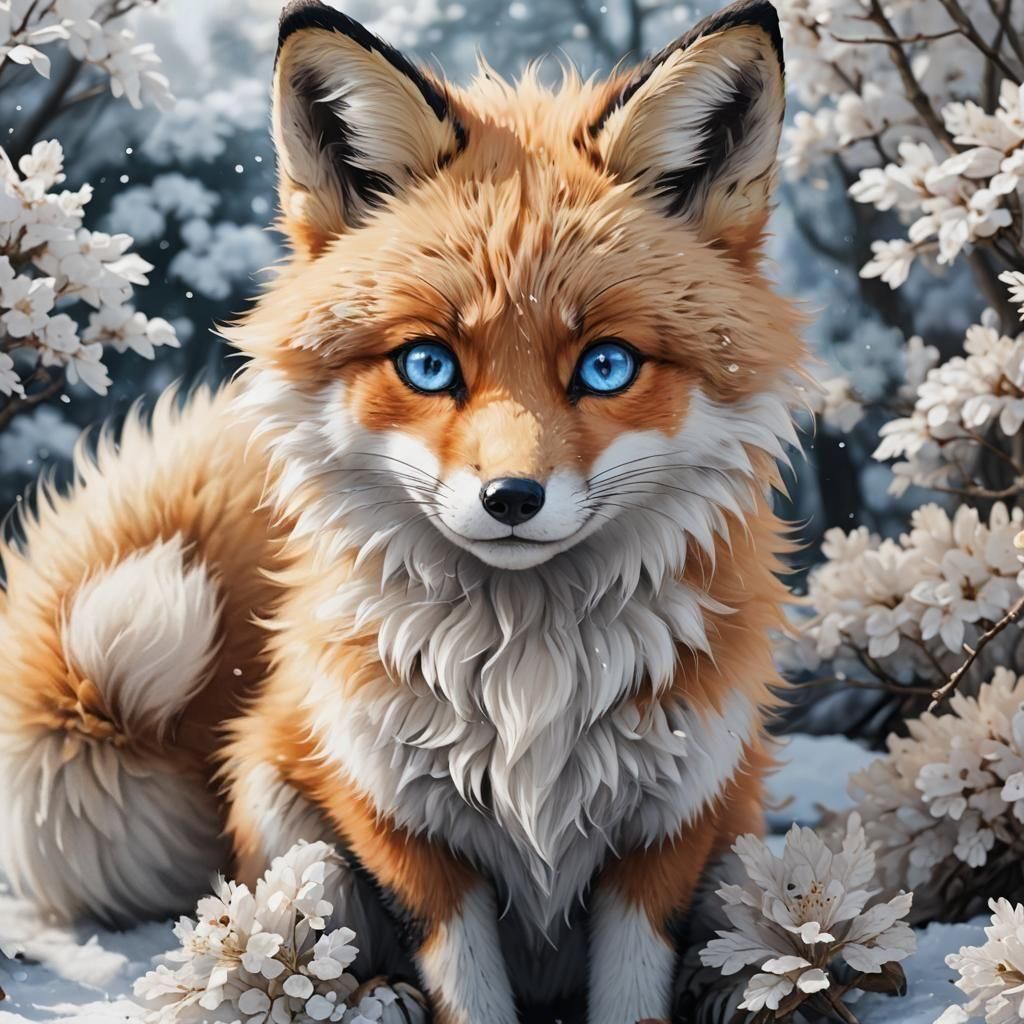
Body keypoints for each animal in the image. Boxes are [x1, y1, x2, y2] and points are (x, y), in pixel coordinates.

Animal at [0, 1, 807, 1021]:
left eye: (606, 365)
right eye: (428, 364)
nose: (512, 498)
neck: (528, 682)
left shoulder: (669, 825)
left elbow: (632, 988)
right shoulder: (399, 820)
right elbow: (466, 984)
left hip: (738, 839)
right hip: (289, 816)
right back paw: (366, 994)